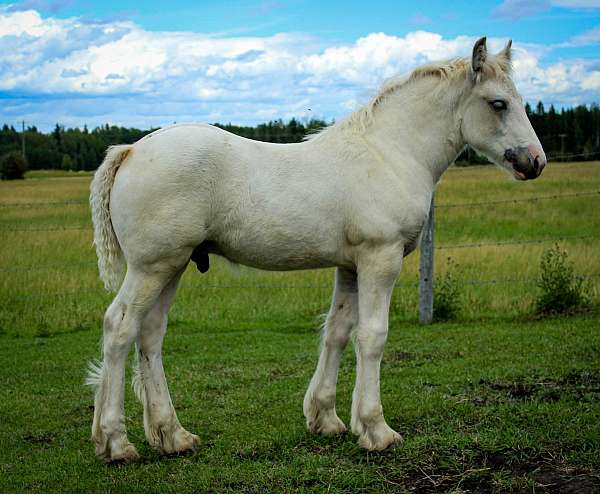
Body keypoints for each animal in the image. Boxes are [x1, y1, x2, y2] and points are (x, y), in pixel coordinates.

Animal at [88, 37, 544, 464]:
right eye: (499, 103)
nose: (535, 162)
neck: (390, 153)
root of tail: (130, 151)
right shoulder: (380, 258)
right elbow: (372, 336)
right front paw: (376, 430)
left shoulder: (351, 266)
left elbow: (338, 331)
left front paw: (326, 418)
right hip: (152, 267)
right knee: (120, 328)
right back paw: (116, 442)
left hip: (173, 265)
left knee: (150, 334)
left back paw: (173, 436)